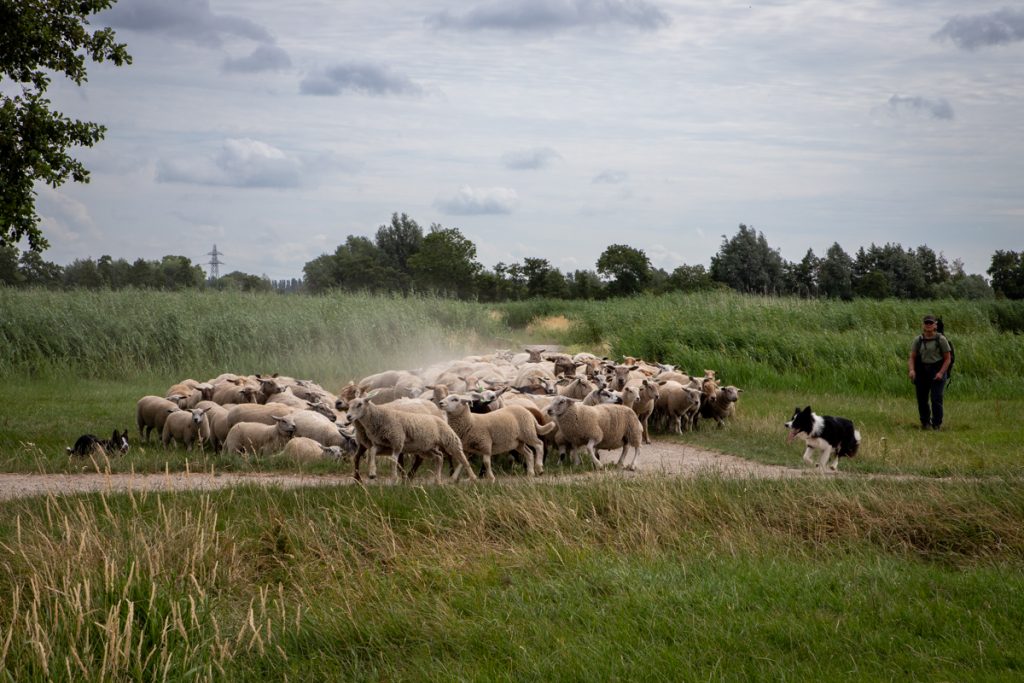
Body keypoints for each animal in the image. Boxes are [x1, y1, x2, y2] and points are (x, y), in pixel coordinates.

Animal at [342, 395, 473, 485]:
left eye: (359, 404)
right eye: (348, 405)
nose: (348, 417)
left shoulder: (397, 442)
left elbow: (396, 461)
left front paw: (397, 478)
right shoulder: (378, 445)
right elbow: (364, 455)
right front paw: (364, 476)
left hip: (447, 440)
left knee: (457, 456)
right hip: (425, 447)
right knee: (437, 456)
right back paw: (434, 479)